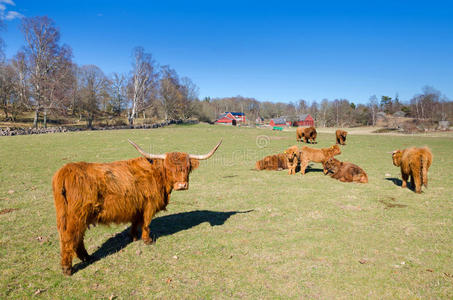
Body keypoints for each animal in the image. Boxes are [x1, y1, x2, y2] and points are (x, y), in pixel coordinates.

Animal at [52, 139, 222, 276]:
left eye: (187, 167)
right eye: (169, 168)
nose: (182, 185)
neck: (157, 176)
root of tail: (65, 171)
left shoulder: (137, 207)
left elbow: (135, 223)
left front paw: (133, 237)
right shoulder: (149, 205)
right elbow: (146, 224)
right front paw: (147, 240)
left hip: (69, 216)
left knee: (76, 238)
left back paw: (87, 257)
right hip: (77, 216)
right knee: (70, 238)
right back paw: (68, 268)